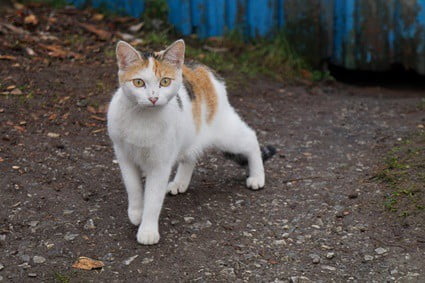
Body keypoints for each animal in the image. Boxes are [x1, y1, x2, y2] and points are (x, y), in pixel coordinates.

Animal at [106, 40, 274, 246]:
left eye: (165, 82)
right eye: (138, 82)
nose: (153, 98)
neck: (143, 117)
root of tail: (203, 68)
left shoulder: (160, 164)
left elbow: (153, 198)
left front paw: (147, 230)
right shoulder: (124, 155)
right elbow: (133, 187)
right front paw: (136, 213)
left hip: (225, 132)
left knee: (250, 138)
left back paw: (257, 176)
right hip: (190, 134)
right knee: (190, 155)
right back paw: (180, 183)